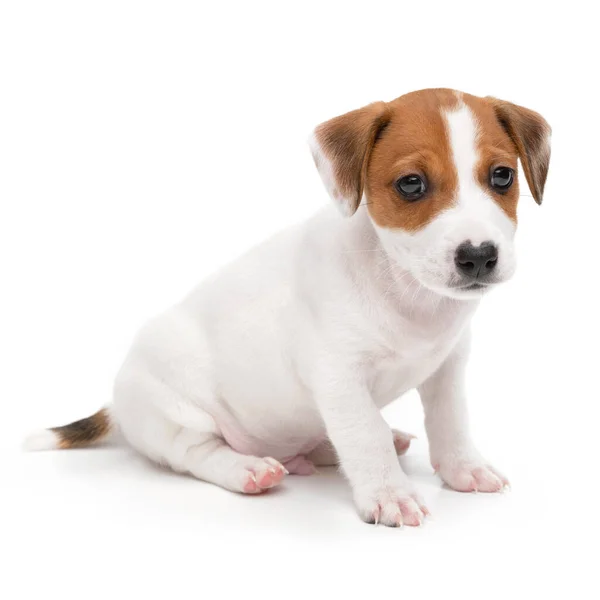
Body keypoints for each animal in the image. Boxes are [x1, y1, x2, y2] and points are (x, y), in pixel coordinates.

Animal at [28, 88, 552, 524]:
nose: (479, 255)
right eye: (411, 184)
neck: (405, 289)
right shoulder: (339, 377)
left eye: (502, 176)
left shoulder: (447, 367)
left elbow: (451, 423)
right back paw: (248, 470)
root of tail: (117, 405)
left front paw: (465, 468)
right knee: (197, 453)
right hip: (175, 414)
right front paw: (390, 494)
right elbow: (365, 434)